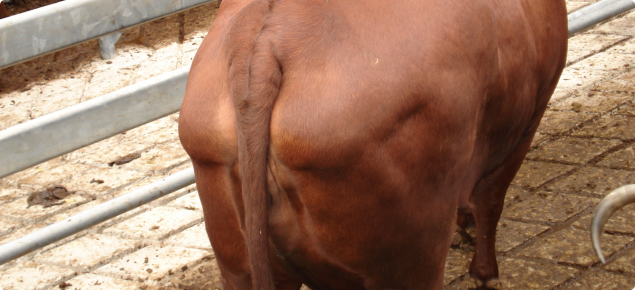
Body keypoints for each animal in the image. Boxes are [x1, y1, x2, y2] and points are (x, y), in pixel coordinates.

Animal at [178, 0, 568, 288]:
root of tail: (270, 38)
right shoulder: (529, 116)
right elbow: (491, 201)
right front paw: (485, 273)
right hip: (407, 257)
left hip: (239, 264)